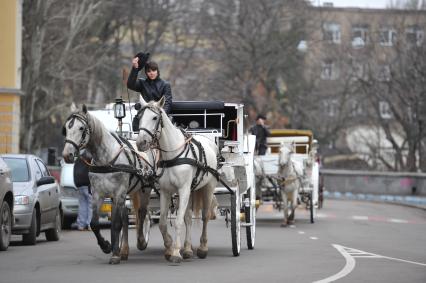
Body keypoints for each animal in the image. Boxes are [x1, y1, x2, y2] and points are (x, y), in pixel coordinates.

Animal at [61, 105, 155, 266]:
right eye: (66, 128)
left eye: (81, 128)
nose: (67, 155)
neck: (107, 159)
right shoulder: (98, 195)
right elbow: (95, 223)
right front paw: (107, 246)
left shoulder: (118, 193)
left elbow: (116, 224)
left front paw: (115, 254)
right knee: (126, 218)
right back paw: (124, 250)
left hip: (145, 189)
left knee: (142, 213)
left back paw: (141, 241)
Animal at [136, 97, 218, 264]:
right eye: (139, 117)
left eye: (155, 117)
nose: (141, 143)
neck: (172, 155)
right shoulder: (166, 192)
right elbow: (162, 222)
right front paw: (169, 247)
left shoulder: (183, 189)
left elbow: (179, 221)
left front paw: (175, 252)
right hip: (190, 191)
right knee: (188, 218)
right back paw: (187, 249)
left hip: (208, 187)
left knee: (205, 216)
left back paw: (202, 248)